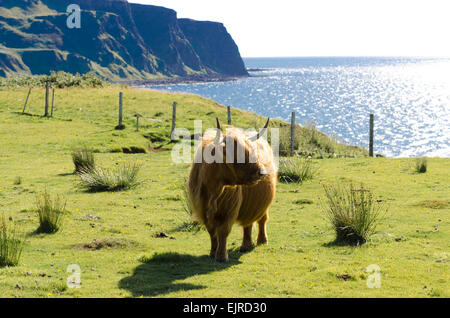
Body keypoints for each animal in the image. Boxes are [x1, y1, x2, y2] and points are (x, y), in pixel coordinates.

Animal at [187, 118, 278, 262]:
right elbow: (212, 232)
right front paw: (212, 252)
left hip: (262, 204)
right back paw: (246, 245)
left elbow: (223, 231)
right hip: (249, 203)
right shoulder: (203, 209)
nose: (262, 172)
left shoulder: (229, 210)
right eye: (238, 155)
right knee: (248, 223)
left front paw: (221, 256)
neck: (213, 191)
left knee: (262, 219)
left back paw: (262, 240)